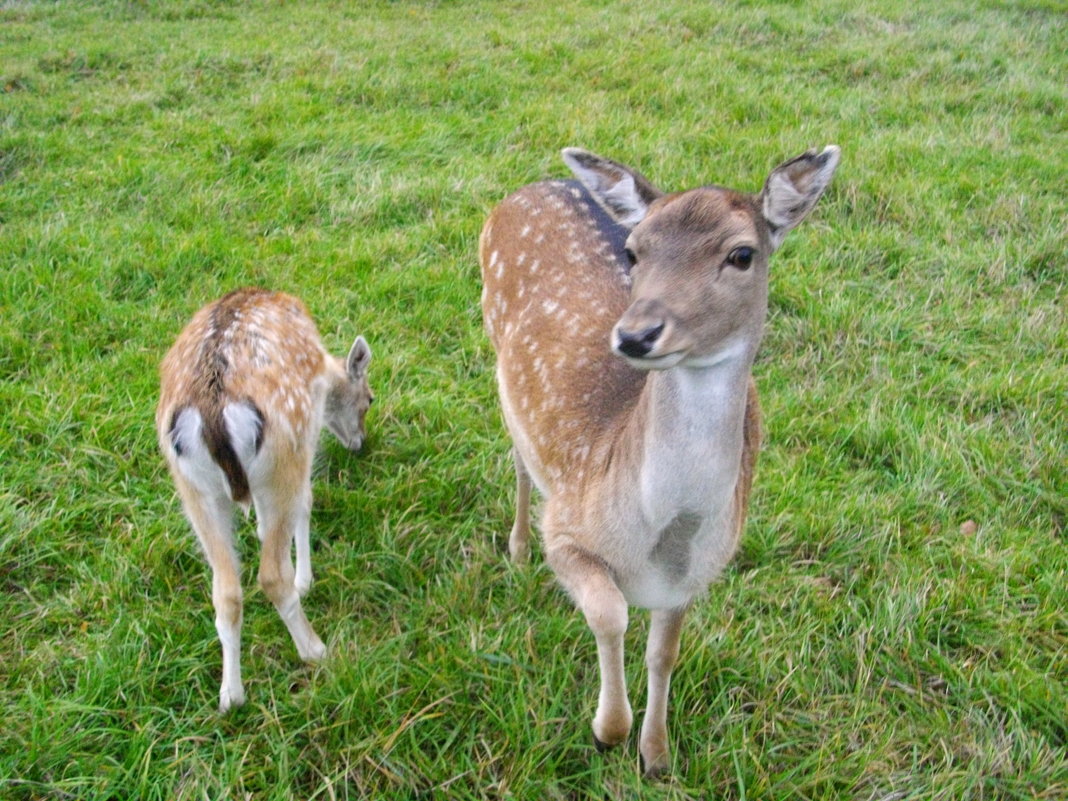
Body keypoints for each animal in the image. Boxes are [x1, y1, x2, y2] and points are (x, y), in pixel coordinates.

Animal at [480, 146, 837, 777]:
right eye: (633, 250)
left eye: (741, 254)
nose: (635, 335)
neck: (662, 537)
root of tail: (531, 186)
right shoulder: (567, 529)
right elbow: (610, 614)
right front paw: (608, 732)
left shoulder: (695, 576)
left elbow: (664, 653)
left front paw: (657, 756)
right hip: (495, 355)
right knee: (520, 457)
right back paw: (517, 550)